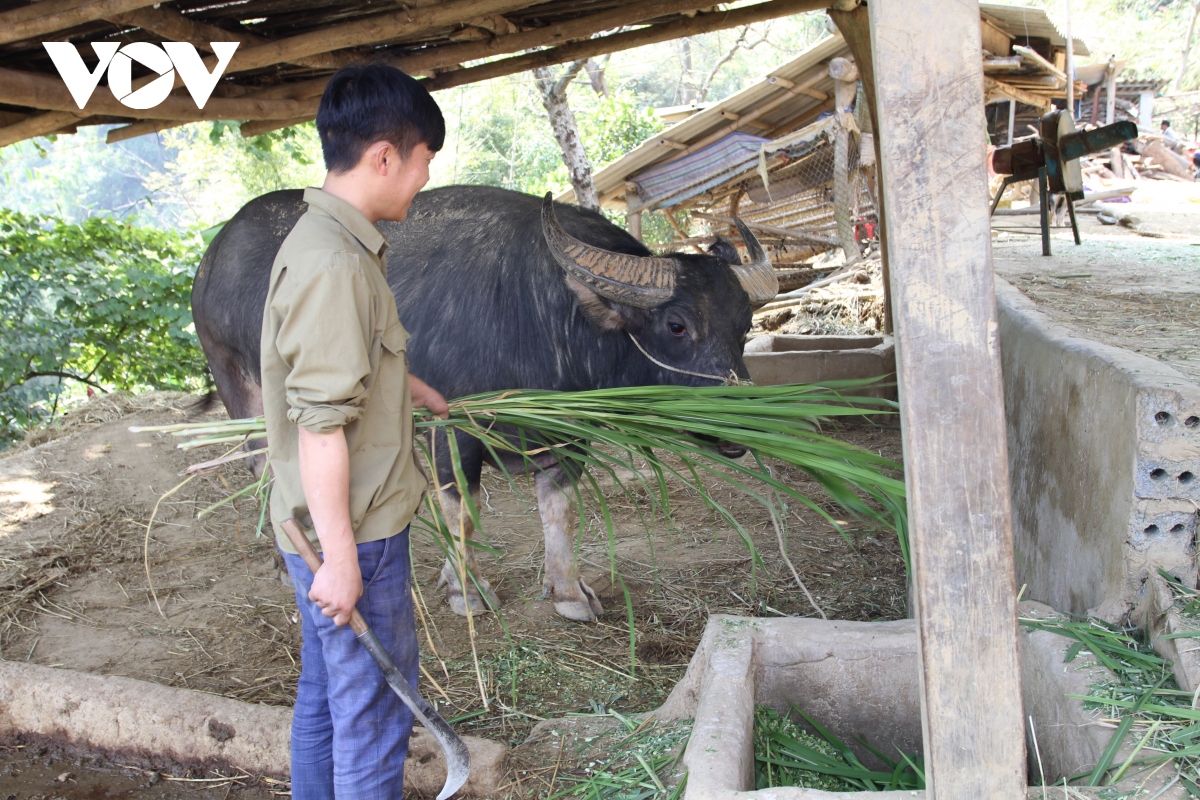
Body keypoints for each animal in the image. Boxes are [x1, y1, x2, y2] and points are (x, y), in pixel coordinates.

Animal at [190, 184, 772, 623]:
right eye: (677, 325)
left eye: (745, 324)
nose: (742, 425)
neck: (537, 316)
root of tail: (212, 258)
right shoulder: (451, 433)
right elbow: (462, 515)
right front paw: (465, 590)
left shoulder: (568, 436)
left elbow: (559, 510)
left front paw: (567, 591)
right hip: (242, 388)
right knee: (265, 470)